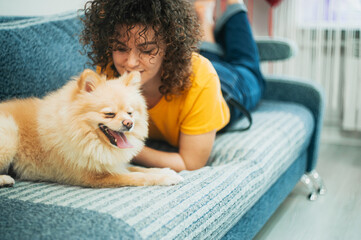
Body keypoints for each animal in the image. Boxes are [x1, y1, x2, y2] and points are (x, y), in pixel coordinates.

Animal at [0, 69, 183, 188]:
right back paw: (5, 179)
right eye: (109, 114)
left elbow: (138, 168)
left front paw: (165, 171)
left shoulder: (111, 164)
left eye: (130, 113)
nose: (129, 123)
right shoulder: (94, 176)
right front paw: (164, 178)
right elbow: (136, 176)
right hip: (10, 134)